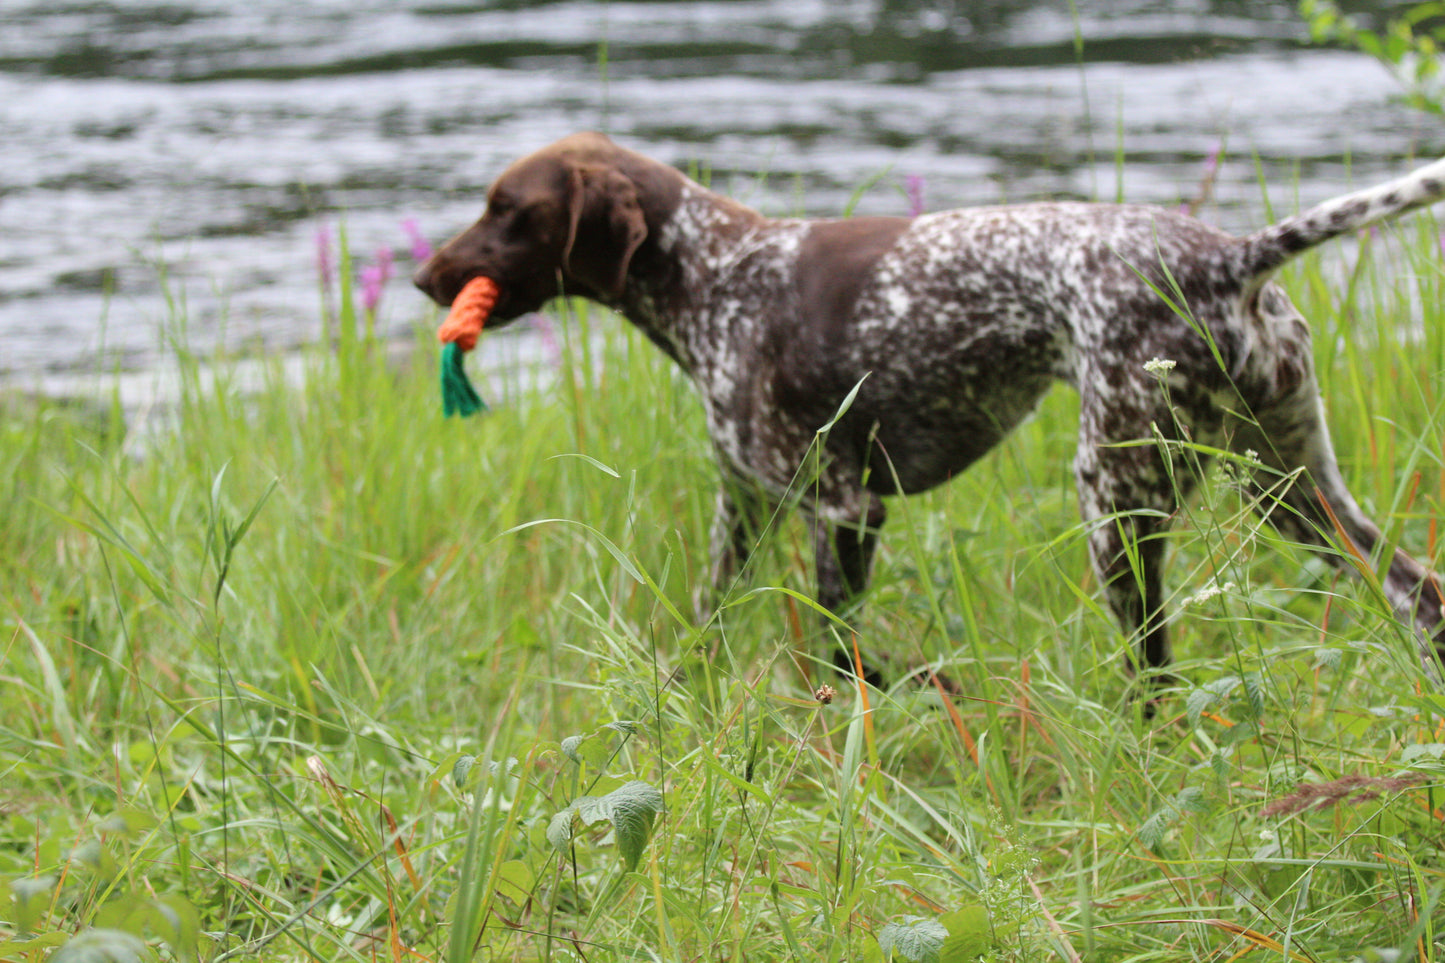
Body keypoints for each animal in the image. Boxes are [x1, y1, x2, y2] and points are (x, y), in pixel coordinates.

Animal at [413, 131, 1445, 685]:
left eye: (507, 209)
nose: (425, 279)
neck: (717, 275)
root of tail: (1230, 258)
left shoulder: (843, 506)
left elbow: (836, 659)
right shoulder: (741, 507)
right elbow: (707, 617)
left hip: (1118, 500)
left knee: (1155, 672)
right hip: (1292, 488)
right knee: (1419, 593)